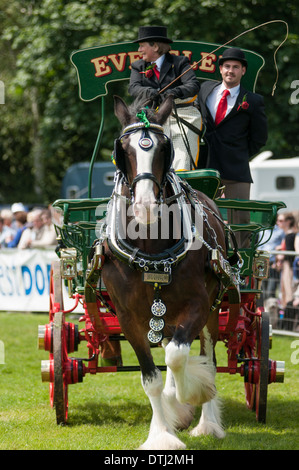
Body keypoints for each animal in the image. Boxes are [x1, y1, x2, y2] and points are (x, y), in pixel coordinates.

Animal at [102, 94, 227, 448]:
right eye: (123, 149)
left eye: (162, 148)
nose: (145, 206)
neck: (151, 251)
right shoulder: (128, 317)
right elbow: (152, 378)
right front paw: (162, 434)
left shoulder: (198, 305)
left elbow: (179, 357)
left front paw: (192, 395)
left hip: (212, 309)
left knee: (206, 355)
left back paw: (207, 422)